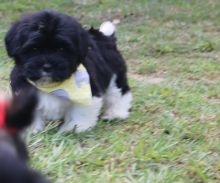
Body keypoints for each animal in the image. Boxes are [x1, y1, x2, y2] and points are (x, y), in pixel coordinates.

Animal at [4, 10, 132, 133]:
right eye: (34, 48)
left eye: (61, 49)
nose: (47, 66)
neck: (52, 86)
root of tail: (105, 37)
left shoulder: (89, 91)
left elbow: (81, 112)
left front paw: (75, 128)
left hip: (115, 74)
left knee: (119, 92)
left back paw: (116, 113)